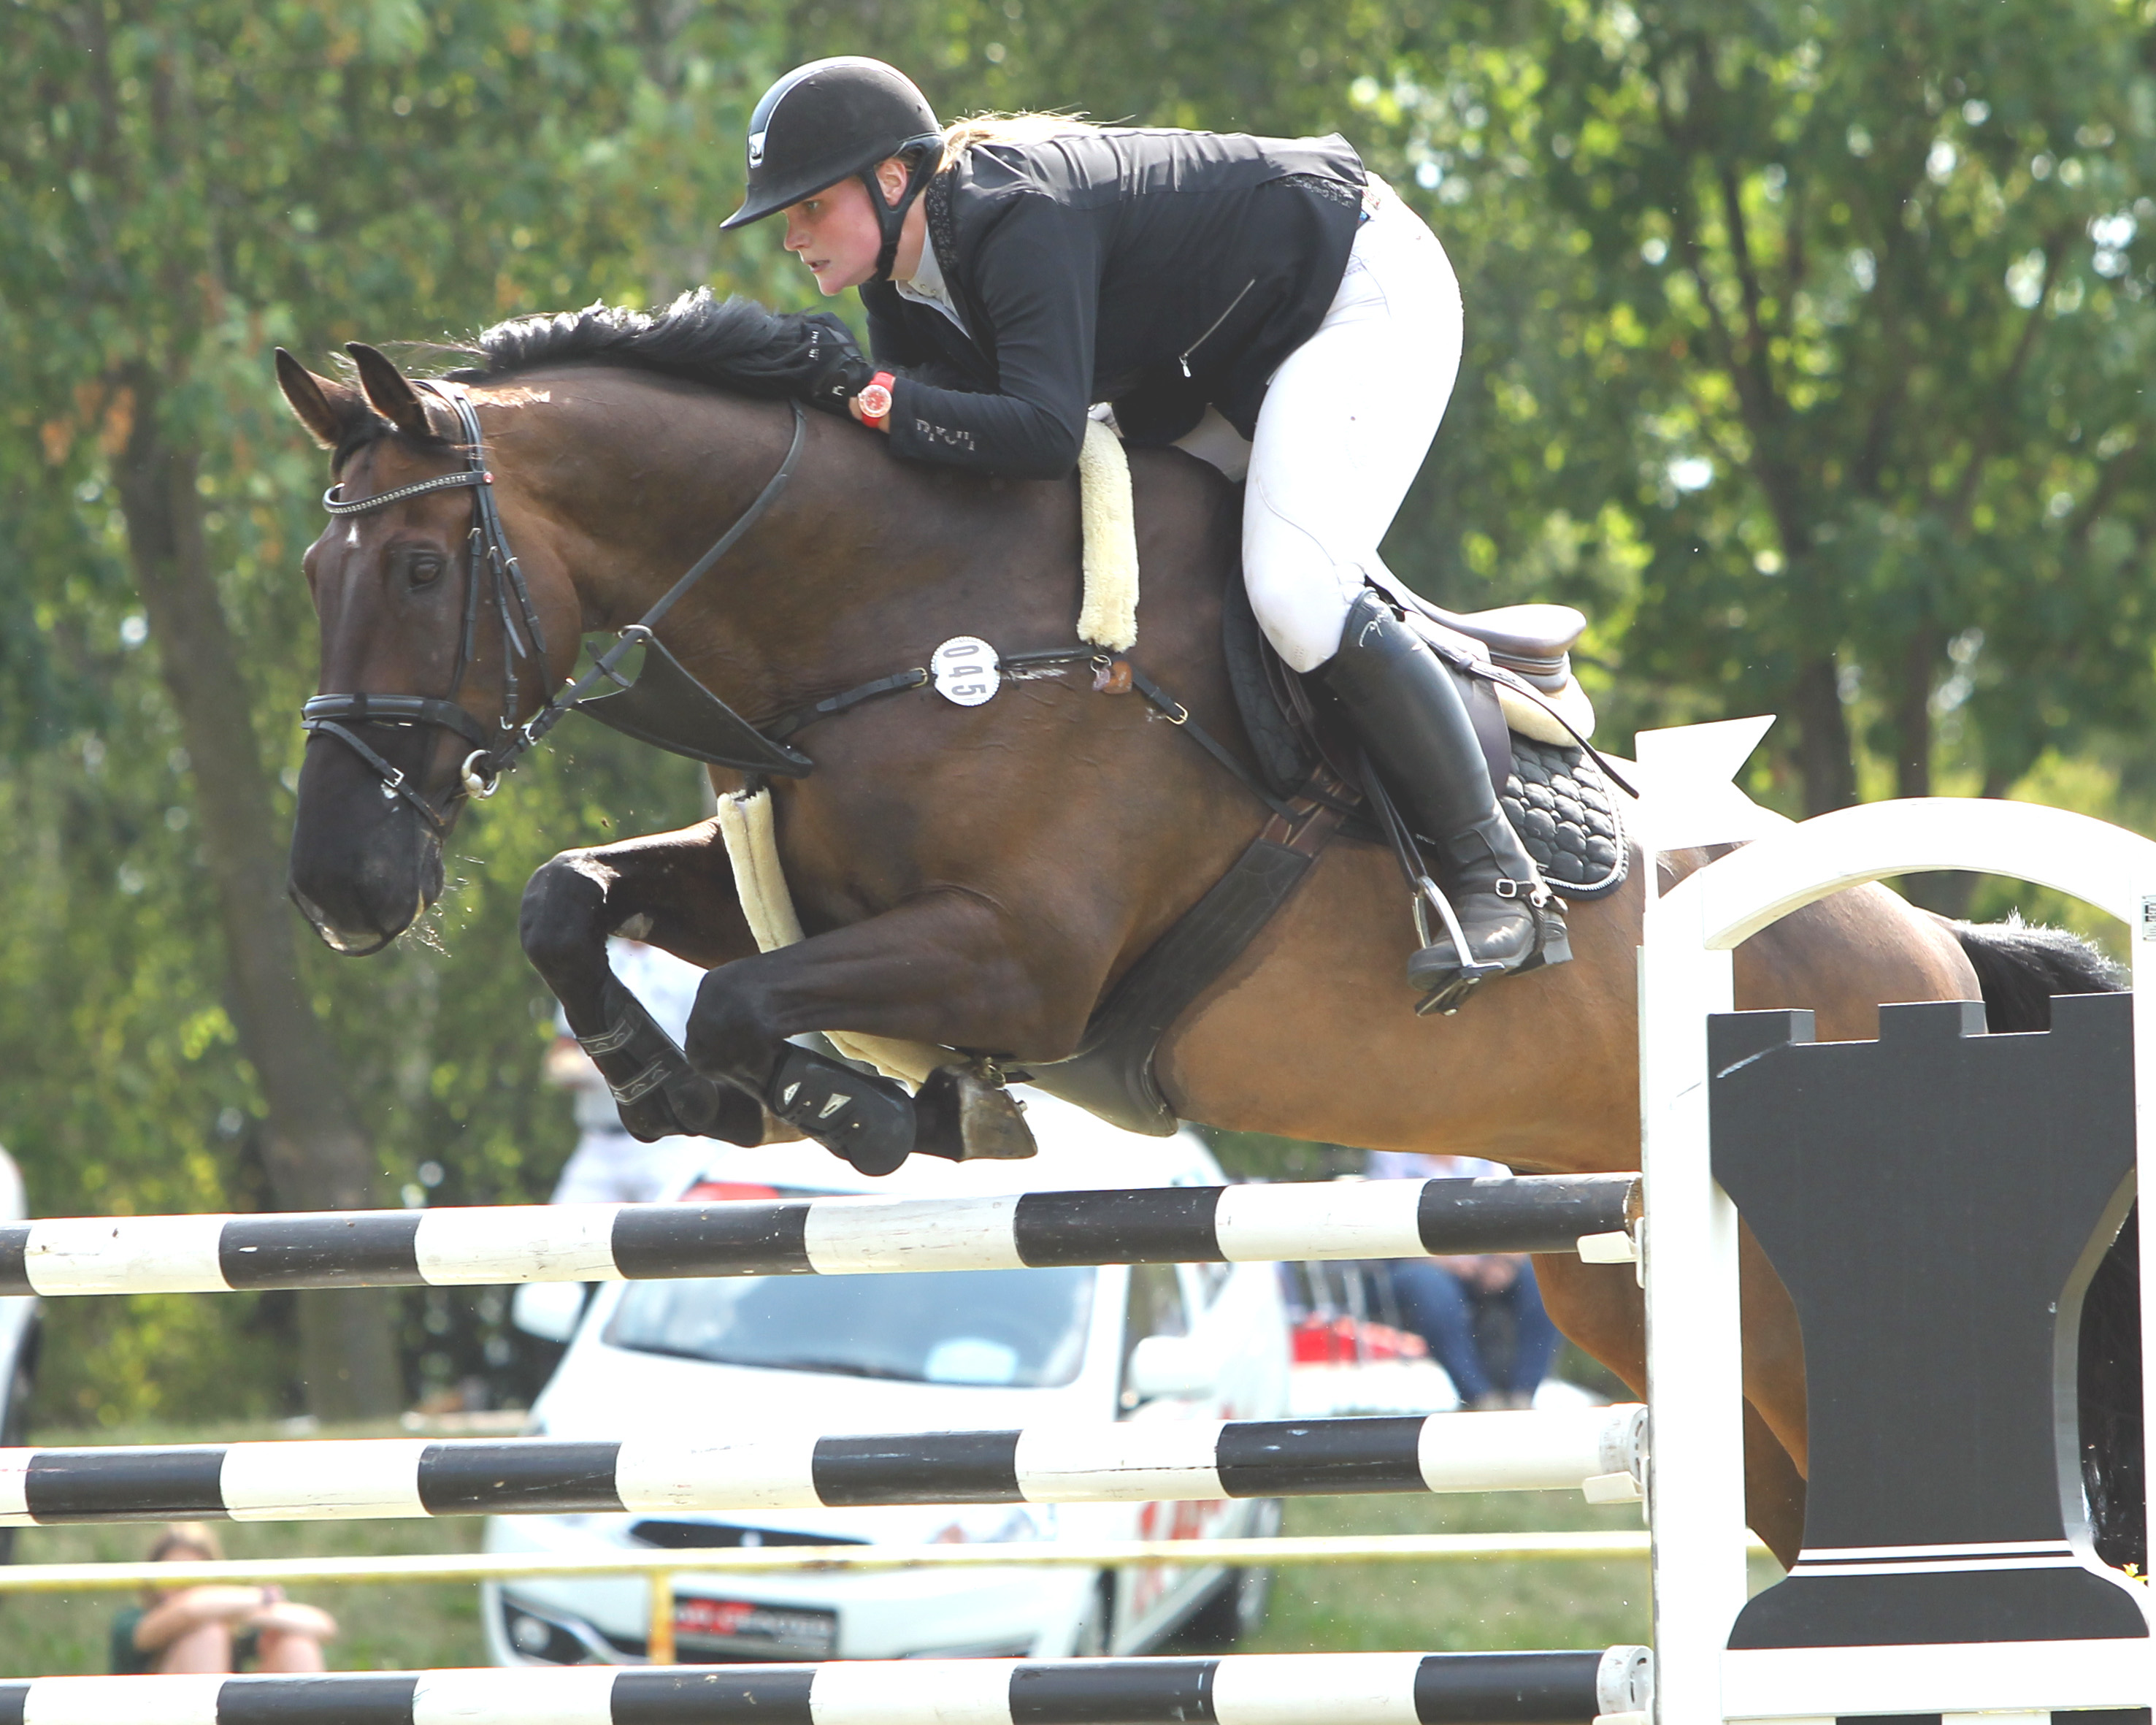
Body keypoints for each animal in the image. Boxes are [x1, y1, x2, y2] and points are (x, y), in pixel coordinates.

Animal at [274, 297, 2138, 1578]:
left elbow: (743, 993)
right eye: (312, 576)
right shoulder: (809, 880)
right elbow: (572, 894)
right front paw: (662, 1081)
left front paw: (853, 1107)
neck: (904, 610)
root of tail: (1932, 965)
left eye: (425, 569)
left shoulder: (1018, 957)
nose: (339, 883)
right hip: (1626, 1293)